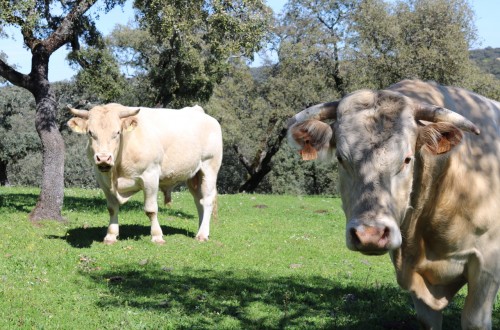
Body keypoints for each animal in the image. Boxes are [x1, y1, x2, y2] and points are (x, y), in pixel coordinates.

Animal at [288, 80, 500, 330]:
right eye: (340, 158)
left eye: (407, 159)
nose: (370, 234)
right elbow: (428, 319)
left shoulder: (487, 263)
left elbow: (474, 320)